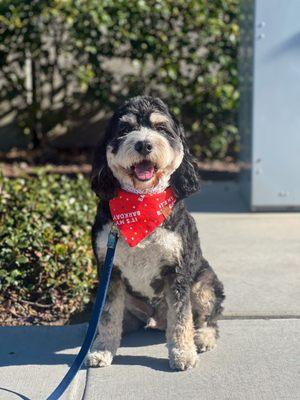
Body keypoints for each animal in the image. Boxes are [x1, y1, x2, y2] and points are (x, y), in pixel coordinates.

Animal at [85, 95, 224, 370]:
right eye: (125, 129)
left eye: (161, 128)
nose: (144, 144)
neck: (141, 202)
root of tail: (156, 318)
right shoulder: (110, 271)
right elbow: (107, 316)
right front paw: (102, 349)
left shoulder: (178, 271)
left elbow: (181, 318)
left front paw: (183, 353)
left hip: (203, 285)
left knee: (208, 318)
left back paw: (202, 337)